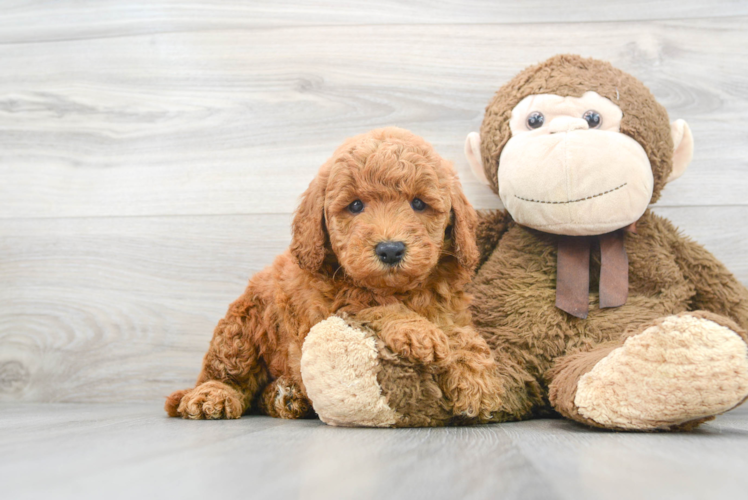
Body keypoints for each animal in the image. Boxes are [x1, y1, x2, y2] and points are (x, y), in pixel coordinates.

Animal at [164, 127, 502, 424]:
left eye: (418, 203)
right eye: (355, 205)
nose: (390, 250)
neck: (399, 290)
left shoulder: (450, 310)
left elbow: (464, 336)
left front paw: (478, 383)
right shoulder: (329, 307)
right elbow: (372, 305)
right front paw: (417, 331)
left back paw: (286, 397)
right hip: (242, 328)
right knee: (227, 376)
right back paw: (213, 396)